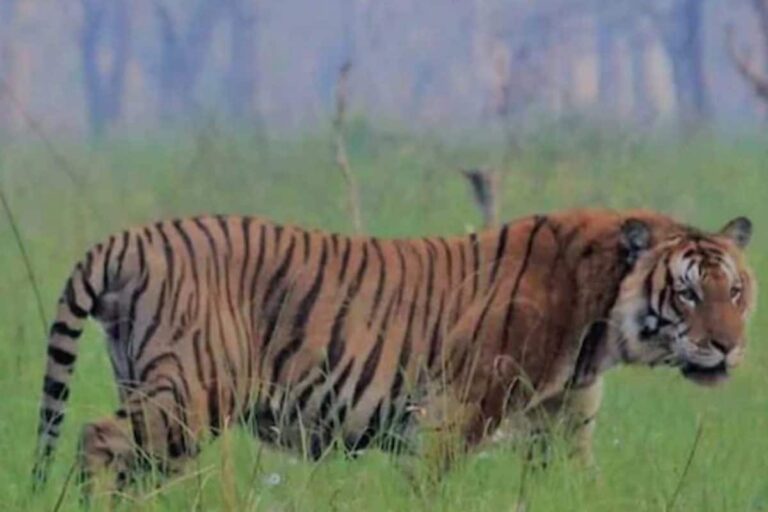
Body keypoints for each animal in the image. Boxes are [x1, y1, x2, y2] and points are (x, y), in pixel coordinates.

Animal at [31, 208, 755, 493]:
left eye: (736, 291)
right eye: (688, 293)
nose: (728, 347)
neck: (601, 326)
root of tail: (124, 240)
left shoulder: (561, 425)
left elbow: (581, 488)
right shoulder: (455, 414)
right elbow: (430, 486)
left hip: (158, 397)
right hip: (191, 393)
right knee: (96, 439)